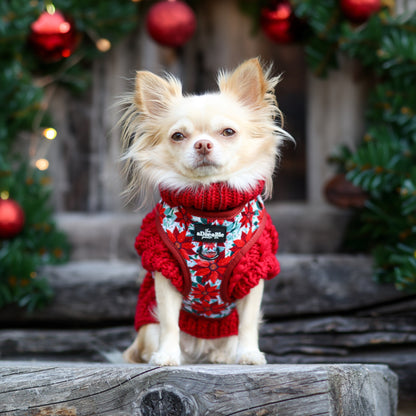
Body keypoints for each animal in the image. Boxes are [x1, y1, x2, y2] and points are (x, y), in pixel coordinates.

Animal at [118, 57, 290, 364]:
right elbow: (169, 322)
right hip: (147, 328)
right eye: (178, 136)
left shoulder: (252, 272)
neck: (210, 212)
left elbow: (248, 322)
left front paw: (249, 355)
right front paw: (166, 356)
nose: (202, 144)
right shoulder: (165, 271)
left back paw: (223, 357)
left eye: (228, 132)